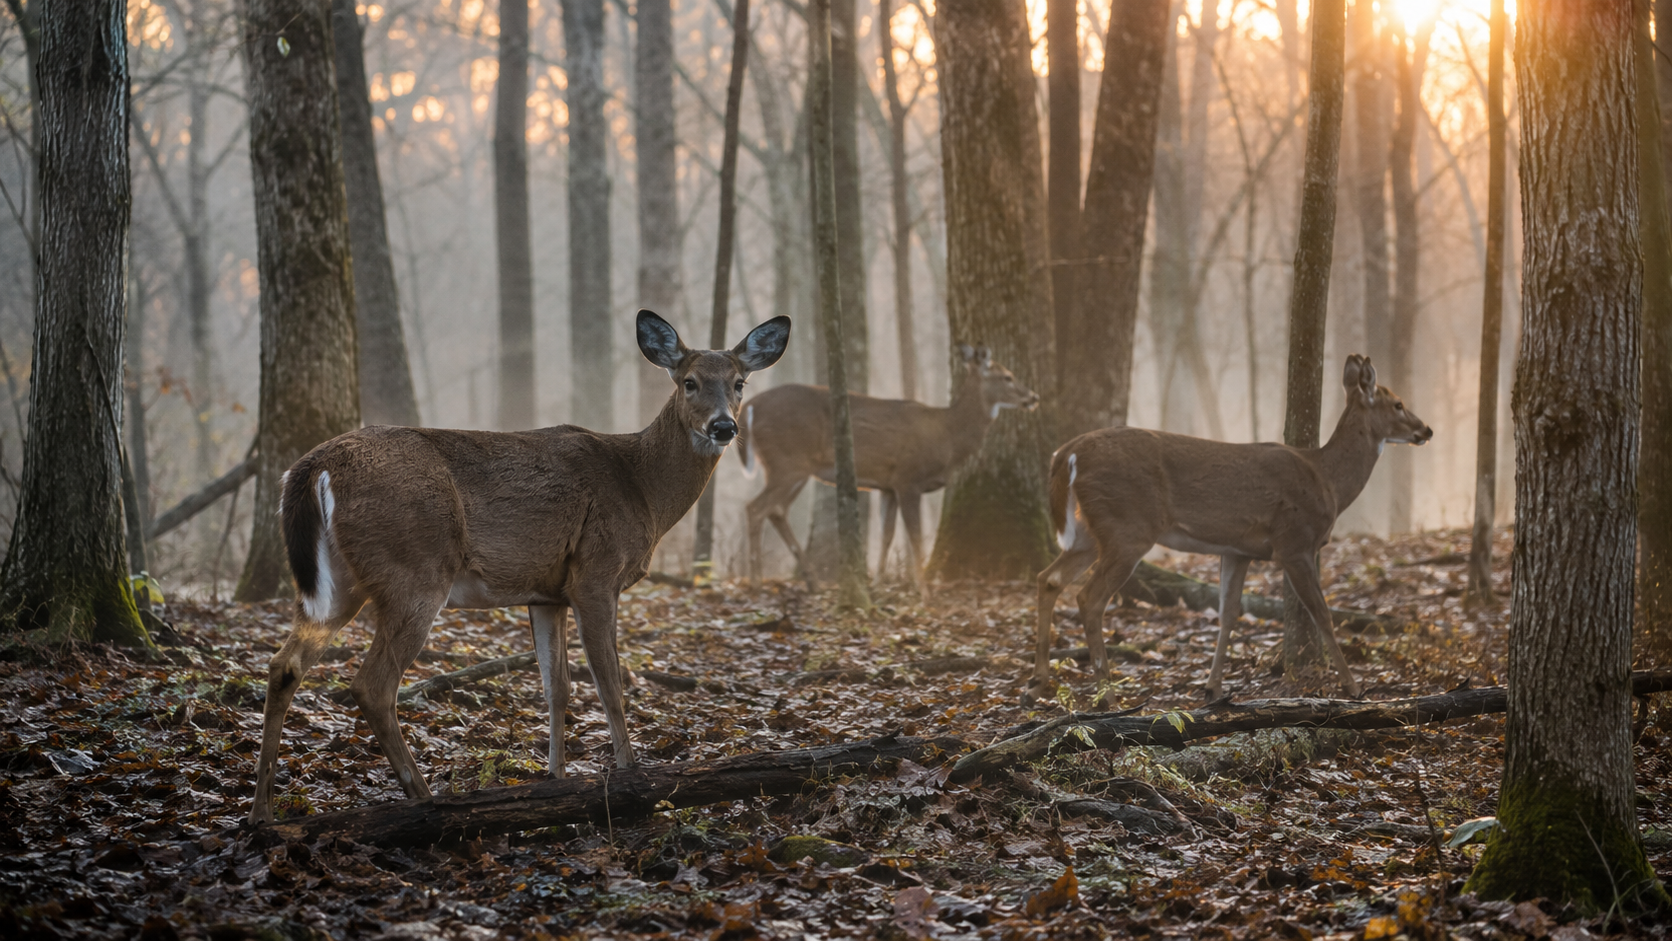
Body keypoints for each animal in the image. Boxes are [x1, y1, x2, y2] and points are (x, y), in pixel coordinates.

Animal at [247, 310, 790, 824]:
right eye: (689, 381)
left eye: (739, 382)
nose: (724, 426)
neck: (641, 487)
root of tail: (312, 466)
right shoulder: (596, 573)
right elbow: (610, 684)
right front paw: (631, 777)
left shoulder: (547, 593)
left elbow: (557, 688)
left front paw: (556, 781)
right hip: (415, 569)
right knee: (372, 684)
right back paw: (424, 799)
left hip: (341, 582)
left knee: (284, 665)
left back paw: (261, 813)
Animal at [737, 345, 1039, 585]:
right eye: (1007, 376)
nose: (1034, 397)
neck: (948, 435)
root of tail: (750, 407)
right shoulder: (908, 478)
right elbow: (915, 538)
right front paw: (923, 590)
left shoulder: (887, 486)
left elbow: (887, 535)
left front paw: (878, 583)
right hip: (787, 461)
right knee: (756, 508)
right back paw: (756, 580)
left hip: (792, 467)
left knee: (776, 511)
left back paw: (810, 580)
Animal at [1029, 355, 1431, 704]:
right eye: (1397, 403)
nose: (1426, 429)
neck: (1328, 481)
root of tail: (1067, 453)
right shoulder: (1295, 541)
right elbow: (1324, 615)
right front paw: (1353, 687)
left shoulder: (1238, 551)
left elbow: (1228, 614)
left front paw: (1213, 688)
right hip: (1129, 526)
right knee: (1089, 598)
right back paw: (1107, 695)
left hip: (1088, 531)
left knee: (1048, 578)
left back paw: (1040, 681)